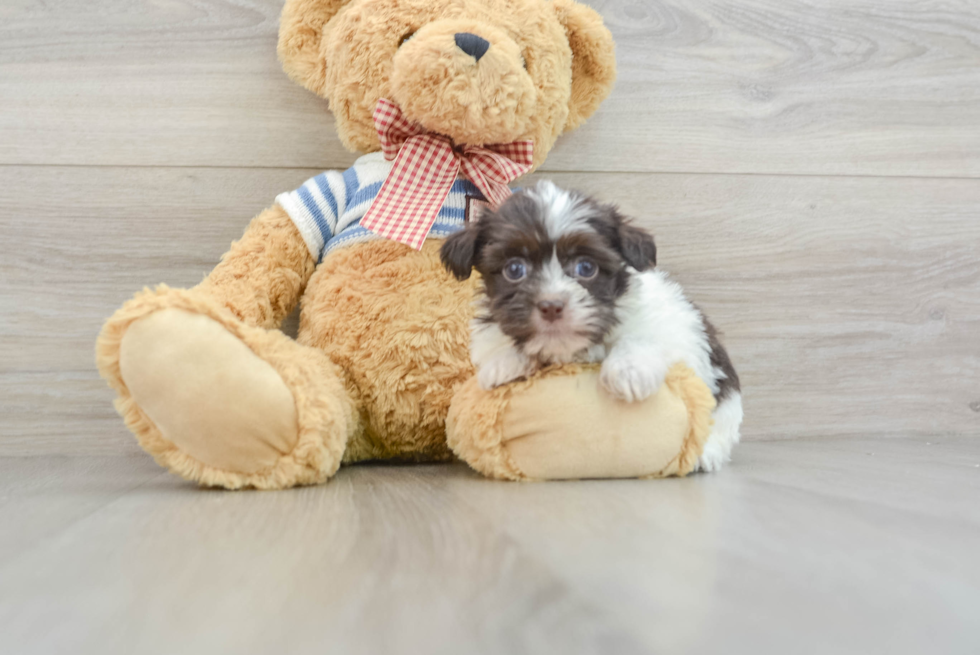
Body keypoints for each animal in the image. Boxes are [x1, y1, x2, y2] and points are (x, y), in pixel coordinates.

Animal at [438, 179, 744, 472]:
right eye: (514, 269)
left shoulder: (672, 326)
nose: (551, 306)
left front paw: (628, 372)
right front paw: (503, 362)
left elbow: (641, 336)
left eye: (586, 268)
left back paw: (706, 454)